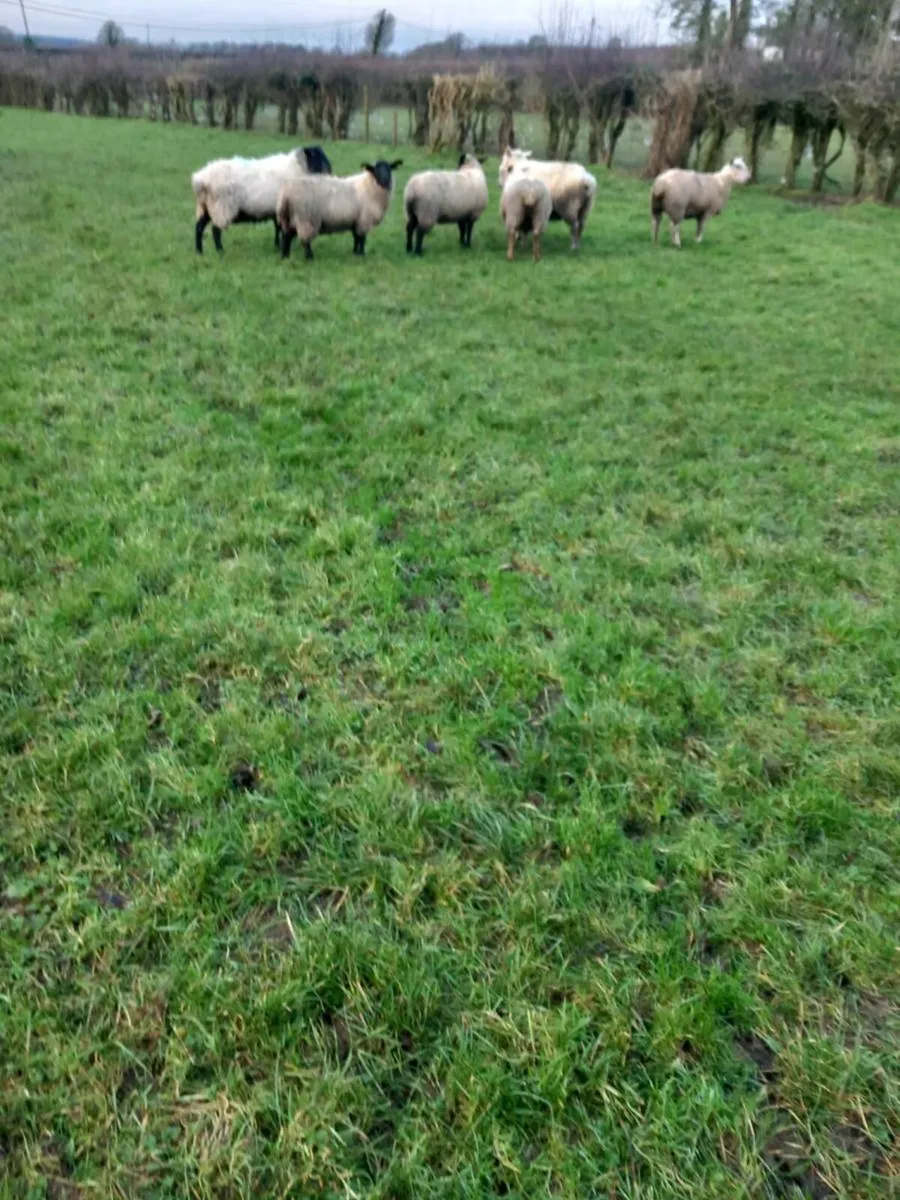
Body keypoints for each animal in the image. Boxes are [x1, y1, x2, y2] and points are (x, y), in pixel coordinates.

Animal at [192, 145, 332, 255]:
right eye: (317, 158)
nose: (329, 173)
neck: (297, 169)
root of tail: (201, 179)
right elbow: (281, 228)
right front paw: (282, 246)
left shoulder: (277, 209)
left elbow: (277, 228)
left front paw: (277, 246)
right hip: (222, 207)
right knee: (215, 230)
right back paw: (220, 252)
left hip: (206, 207)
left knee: (199, 227)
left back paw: (199, 252)